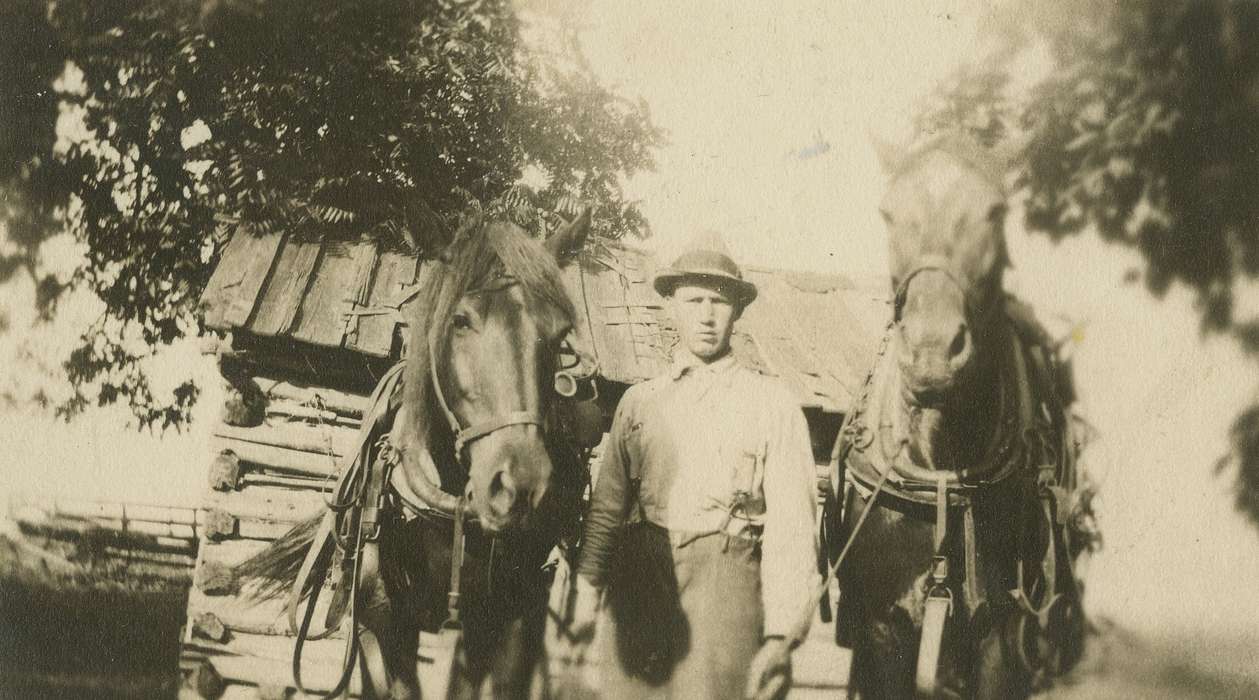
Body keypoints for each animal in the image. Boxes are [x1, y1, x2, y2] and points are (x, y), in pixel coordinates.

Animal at [830, 134, 1087, 694]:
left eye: (995, 211)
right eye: (888, 212)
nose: (932, 353)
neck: (942, 467)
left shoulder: (1001, 632)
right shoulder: (882, 627)